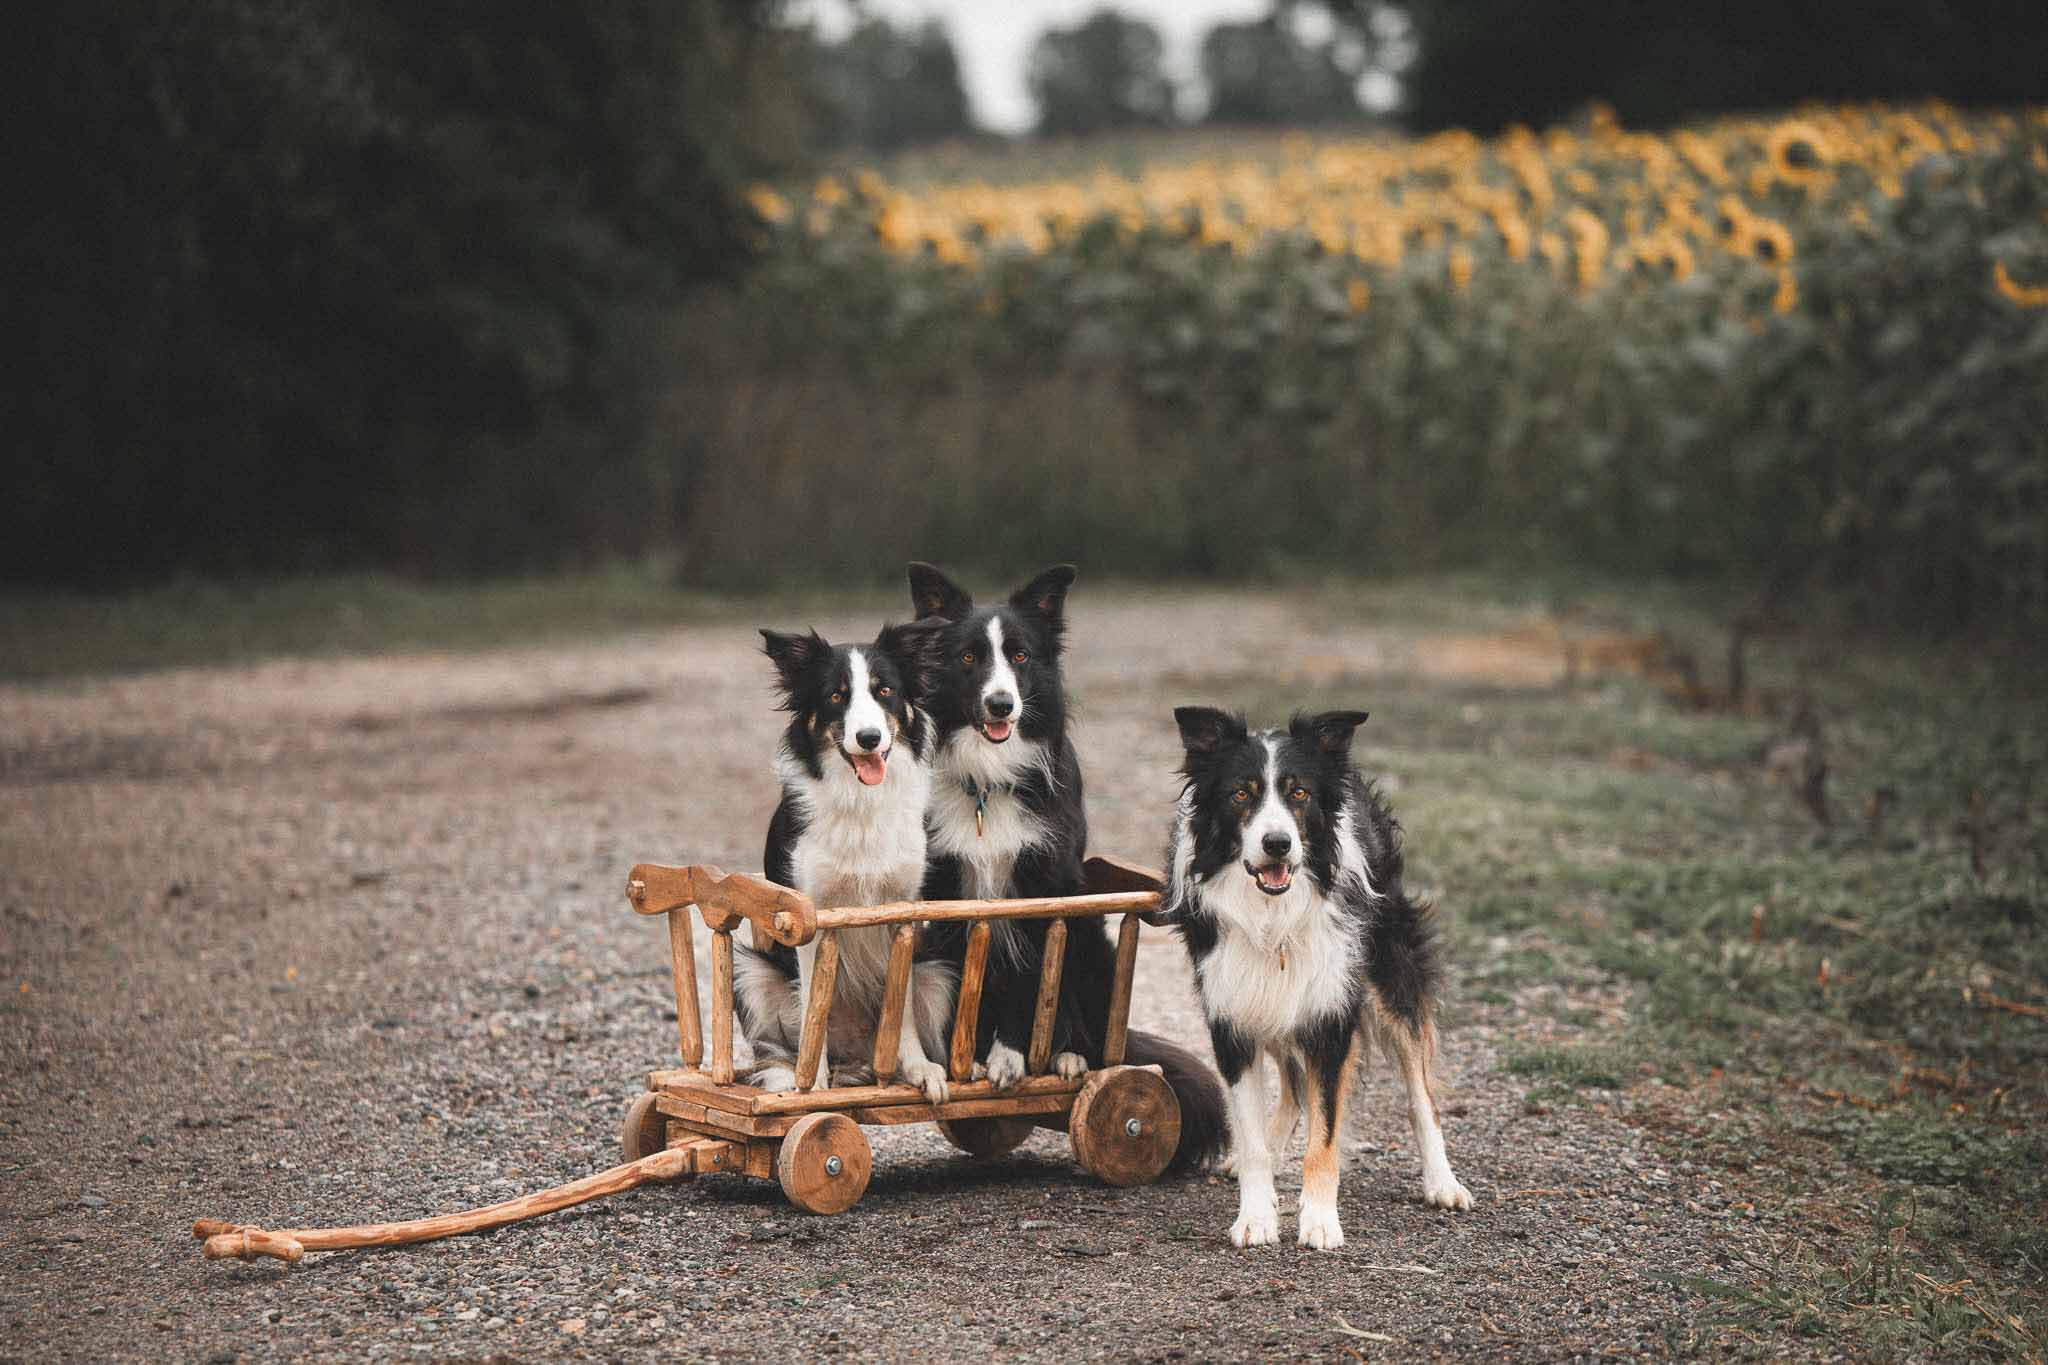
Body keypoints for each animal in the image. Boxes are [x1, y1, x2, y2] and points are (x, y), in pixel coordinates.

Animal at [737, 626, 958, 1105]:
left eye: (885, 691)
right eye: (836, 696)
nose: (870, 737)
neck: (861, 800)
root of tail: (853, 1057)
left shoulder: (903, 913)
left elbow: (901, 1004)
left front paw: (919, 1069)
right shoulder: (807, 919)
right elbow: (812, 1010)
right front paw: (810, 1084)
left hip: (938, 972)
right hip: (752, 973)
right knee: (775, 1049)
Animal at [1171, 703, 1474, 1252]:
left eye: (1299, 794)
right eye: (1241, 793)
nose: (1277, 844)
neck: (1273, 915)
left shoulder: (1331, 1018)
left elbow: (1325, 1133)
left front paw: (1319, 1222)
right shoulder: (1233, 1016)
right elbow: (1251, 1134)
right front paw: (1256, 1216)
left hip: (1388, 972)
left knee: (1420, 1094)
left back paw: (1443, 1183)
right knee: (1291, 1086)